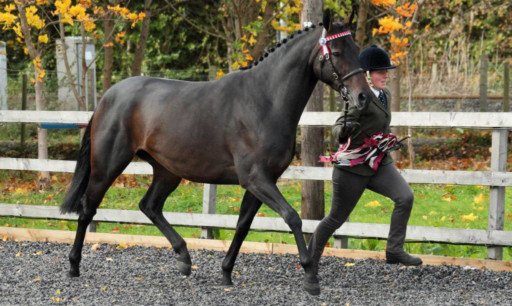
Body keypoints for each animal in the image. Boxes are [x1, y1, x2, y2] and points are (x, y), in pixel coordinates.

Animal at [61, 10, 372, 296]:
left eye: (357, 49)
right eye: (336, 52)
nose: (363, 97)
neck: (264, 101)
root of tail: (107, 97)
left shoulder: (260, 182)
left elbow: (243, 225)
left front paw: (226, 273)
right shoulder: (256, 179)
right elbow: (292, 217)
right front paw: (310, 277)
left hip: (167, 172)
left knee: (149, 206)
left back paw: (184, 258)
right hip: (108, 166)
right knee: (88, 208)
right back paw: (74, 266)